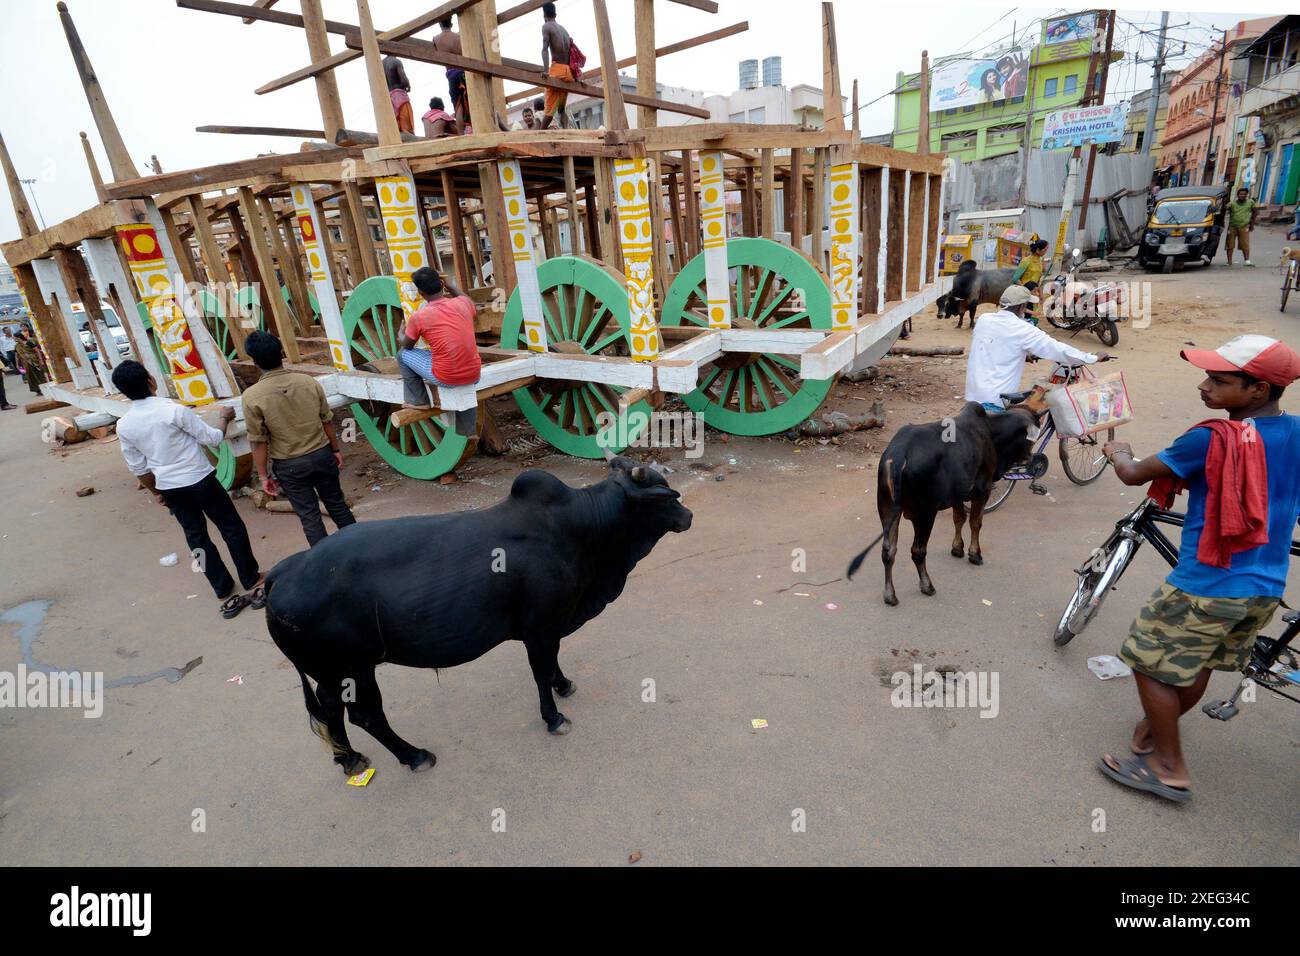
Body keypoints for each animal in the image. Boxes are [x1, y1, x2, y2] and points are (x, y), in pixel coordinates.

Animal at [262, 457, 691, 780]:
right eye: (663, 497)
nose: (687, 514)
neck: (583, 530)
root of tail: (283, 571)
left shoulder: (551, 626)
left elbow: (553, 662)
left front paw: (564, 684)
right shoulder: (539, 627)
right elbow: (540, 671)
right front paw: (554, 717)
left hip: (331, 673)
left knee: (331, 710)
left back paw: (349, 759)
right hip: (354, 668)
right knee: (366, 715)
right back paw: (416, 756)